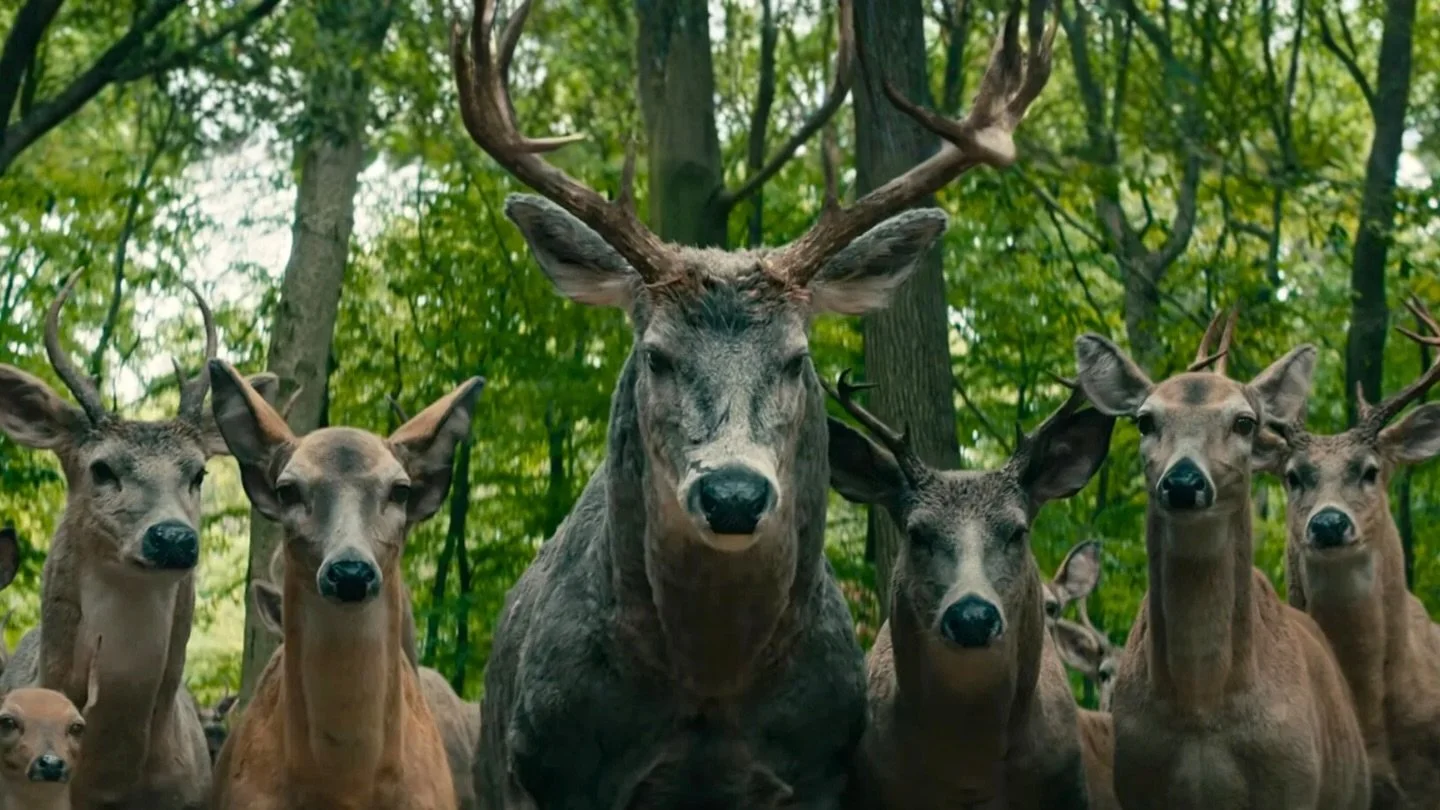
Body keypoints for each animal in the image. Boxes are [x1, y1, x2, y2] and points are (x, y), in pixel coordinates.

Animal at [451, 0, 1058, 803]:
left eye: (798, 360)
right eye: (656, 355)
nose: (734, 495)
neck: (711, 688)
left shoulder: (821, 768)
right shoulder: (549, 765)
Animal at [1073, 311, 1370, 809]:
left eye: (1245, 422)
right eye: (1144, 421)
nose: (1183, 481)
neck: (1202, 707)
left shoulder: (1294, 782)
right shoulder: (1135, 781)